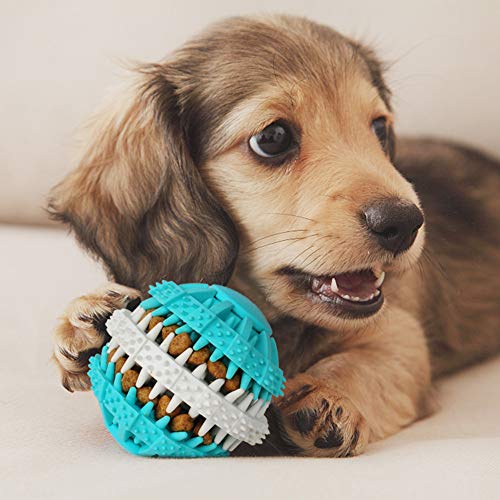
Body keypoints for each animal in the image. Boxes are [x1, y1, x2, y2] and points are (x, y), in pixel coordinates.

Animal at [47, 14, 500, 458]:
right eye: (272, 138)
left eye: (379, 128)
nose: (405, 223)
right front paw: (90, 317)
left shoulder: (401, 333)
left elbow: (369, 360)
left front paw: (329, 392)